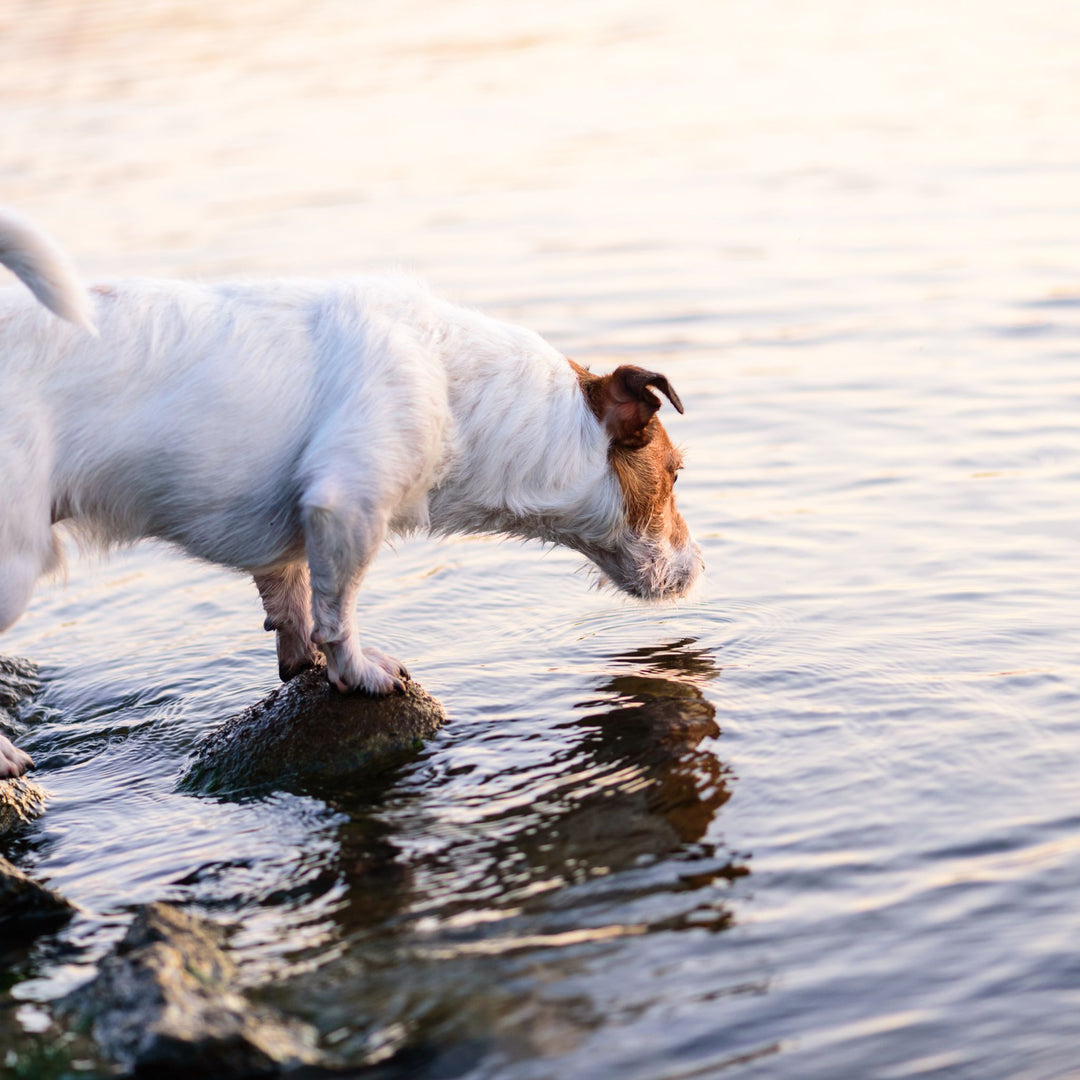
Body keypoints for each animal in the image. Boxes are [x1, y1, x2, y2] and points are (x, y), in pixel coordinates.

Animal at [0, 206, 704, 773]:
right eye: (674, 475)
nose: (701, 569)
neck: (457, 388)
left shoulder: (292, 541)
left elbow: (292, 603)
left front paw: (299, 662)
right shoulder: (347, 504)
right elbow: (337, 613)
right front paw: (355, 672)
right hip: (15, 559)